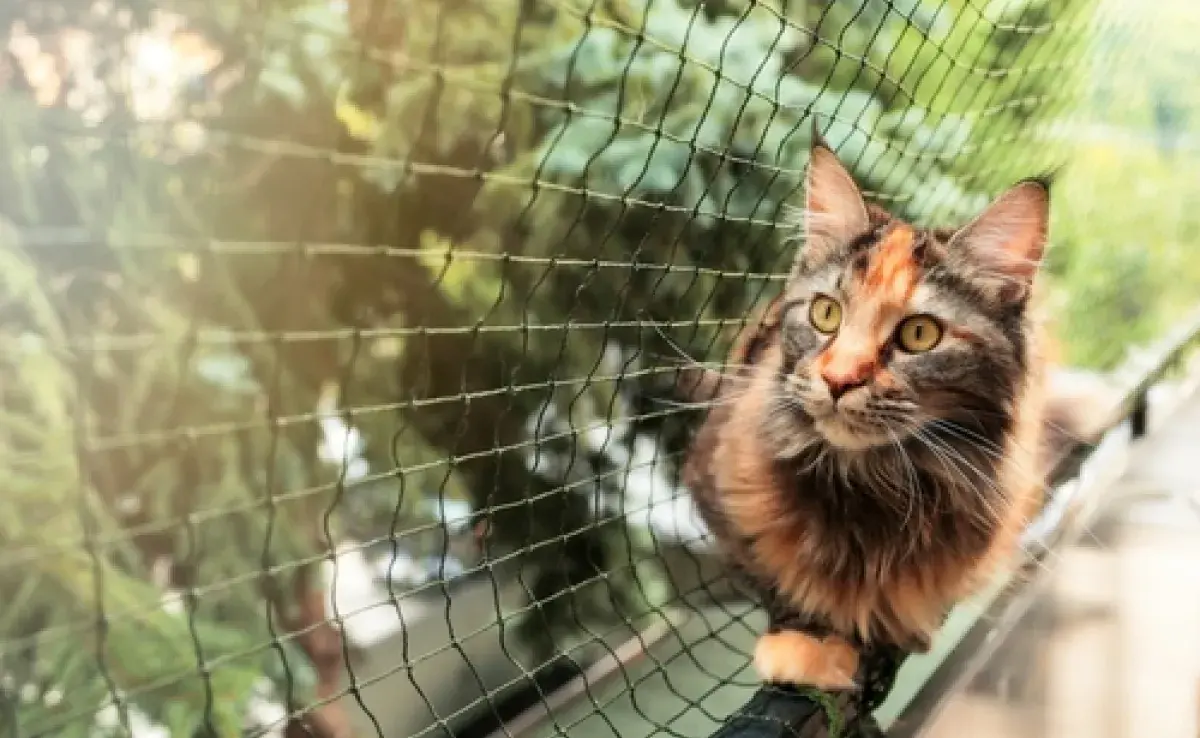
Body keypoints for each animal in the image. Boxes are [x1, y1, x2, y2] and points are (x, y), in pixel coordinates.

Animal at [681, 132, 1084, 691]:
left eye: (920, 334)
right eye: (826, 313)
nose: (839, 379)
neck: (875, 483)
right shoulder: (716, 489)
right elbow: (775, 579)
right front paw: (804, 641)